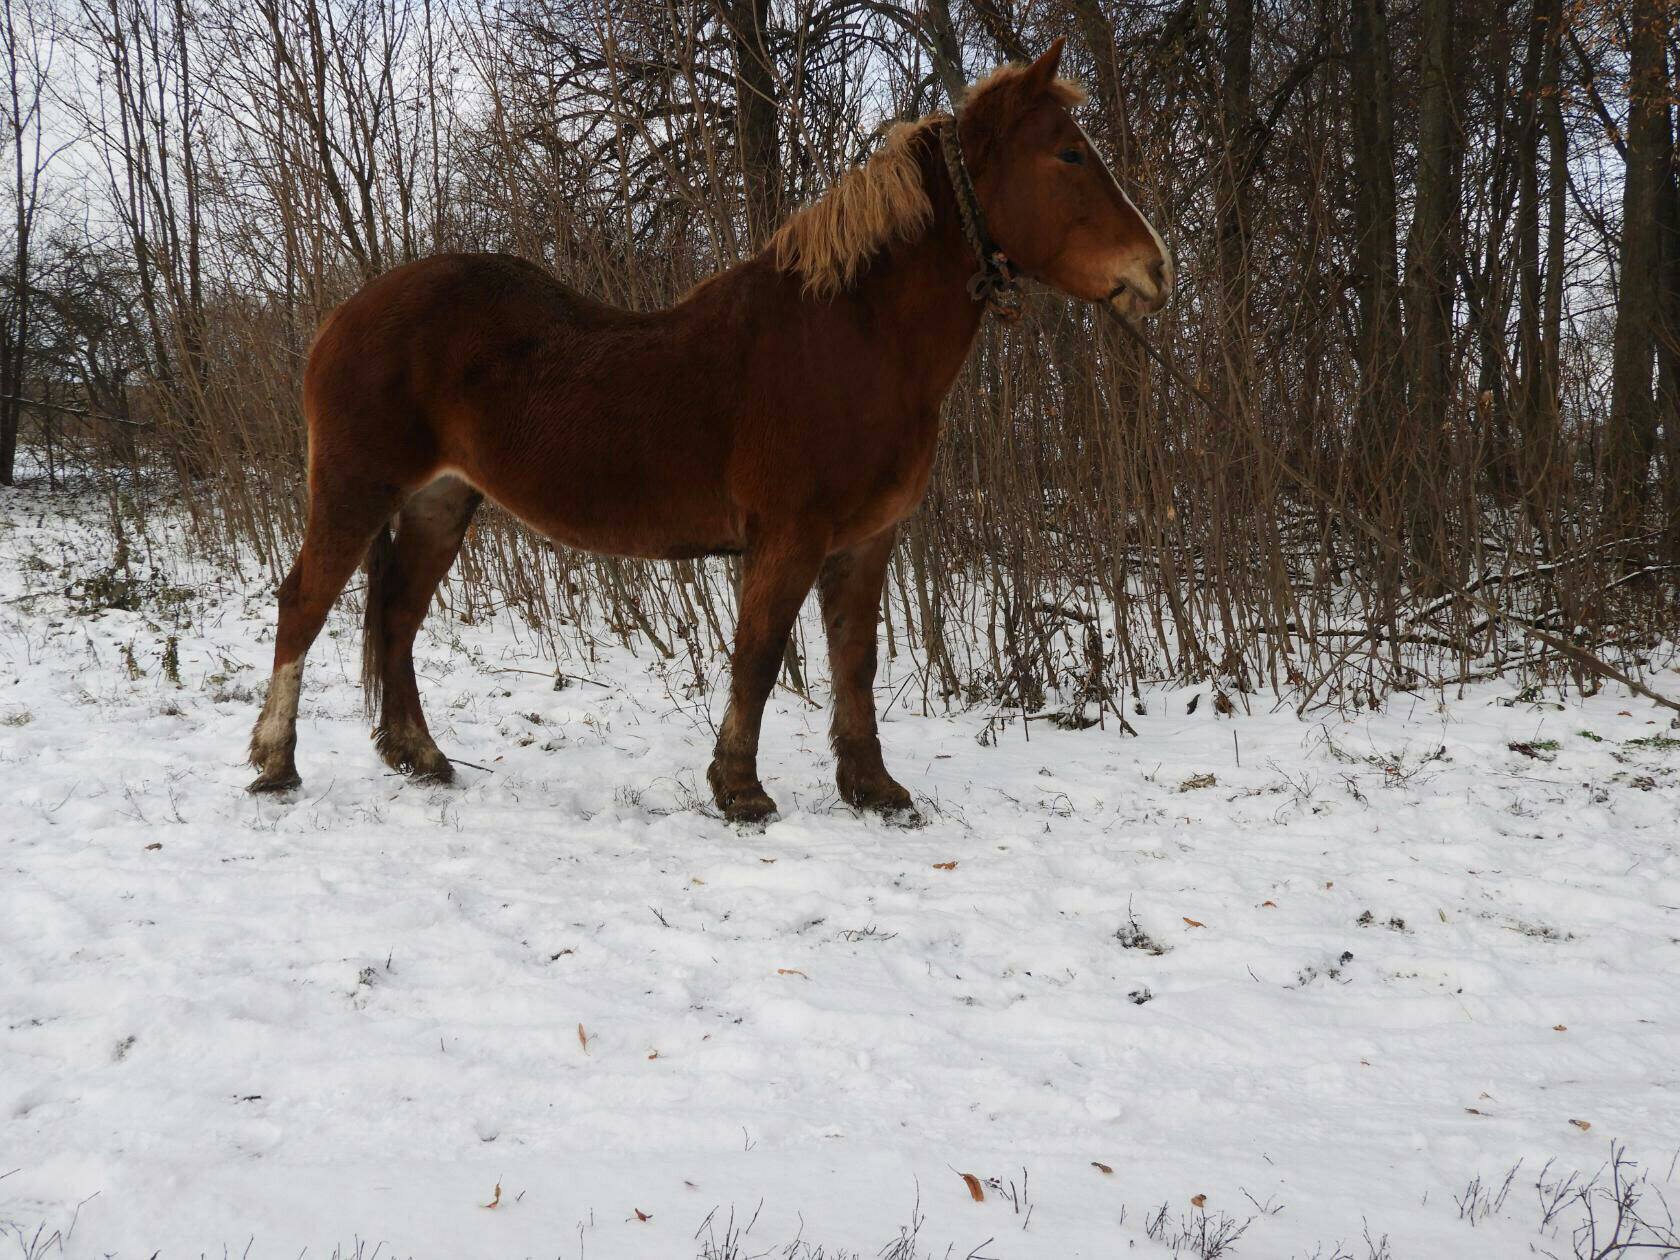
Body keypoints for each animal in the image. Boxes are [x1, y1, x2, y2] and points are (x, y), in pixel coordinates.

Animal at [248, 39, 1169, 823]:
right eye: (1068, 154)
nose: (1155, 270)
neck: (851, 341)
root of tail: (342, 318)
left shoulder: (865, 542)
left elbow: (855, 661)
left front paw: (873, 788)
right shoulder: (789, 537)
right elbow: (759, 656)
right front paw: (741, 790)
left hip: (441, 502)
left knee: (398, 616)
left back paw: (419, 755)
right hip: (356, 490)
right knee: (304, 604)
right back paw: (275, 764)